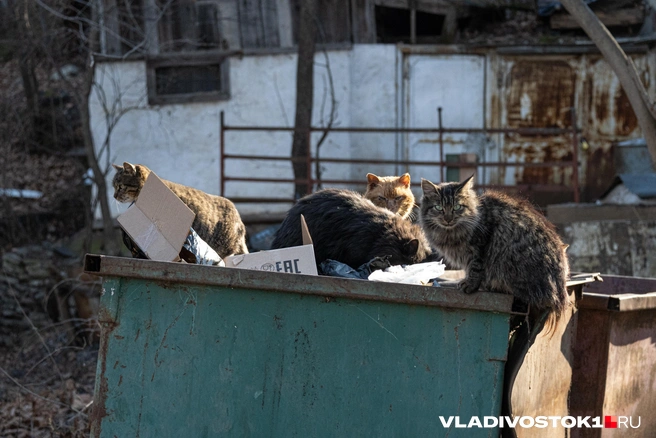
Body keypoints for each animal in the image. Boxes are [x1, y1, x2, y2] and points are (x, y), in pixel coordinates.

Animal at [420, 175, 568, 318]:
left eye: (457, 207)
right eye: (438, 208)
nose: (448, 219)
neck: (451, 233)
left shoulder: (479, 246)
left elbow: (475, 269)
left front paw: (469, 285)